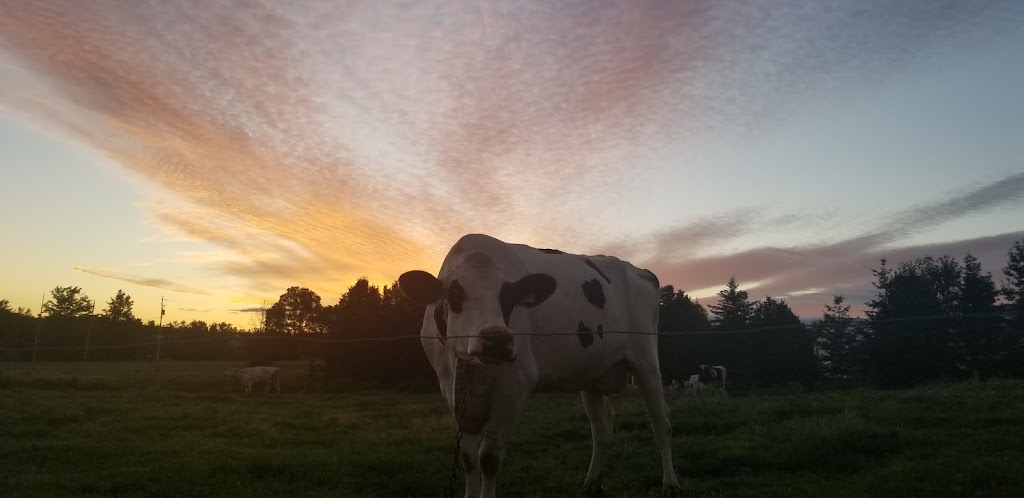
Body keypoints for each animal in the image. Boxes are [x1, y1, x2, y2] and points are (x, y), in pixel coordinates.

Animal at [399, 233, 679, 498]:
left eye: (509, 297)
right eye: (455, 294)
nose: (497, 339)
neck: (471, 366)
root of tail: (640, 271)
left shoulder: (514, 384)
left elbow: (488, 459)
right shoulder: (450, 388)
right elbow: (468, 459)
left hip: (646, 362)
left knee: (661, 423)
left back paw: (670, 484)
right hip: (591, 373)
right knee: (602, 427)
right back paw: (592, 483)